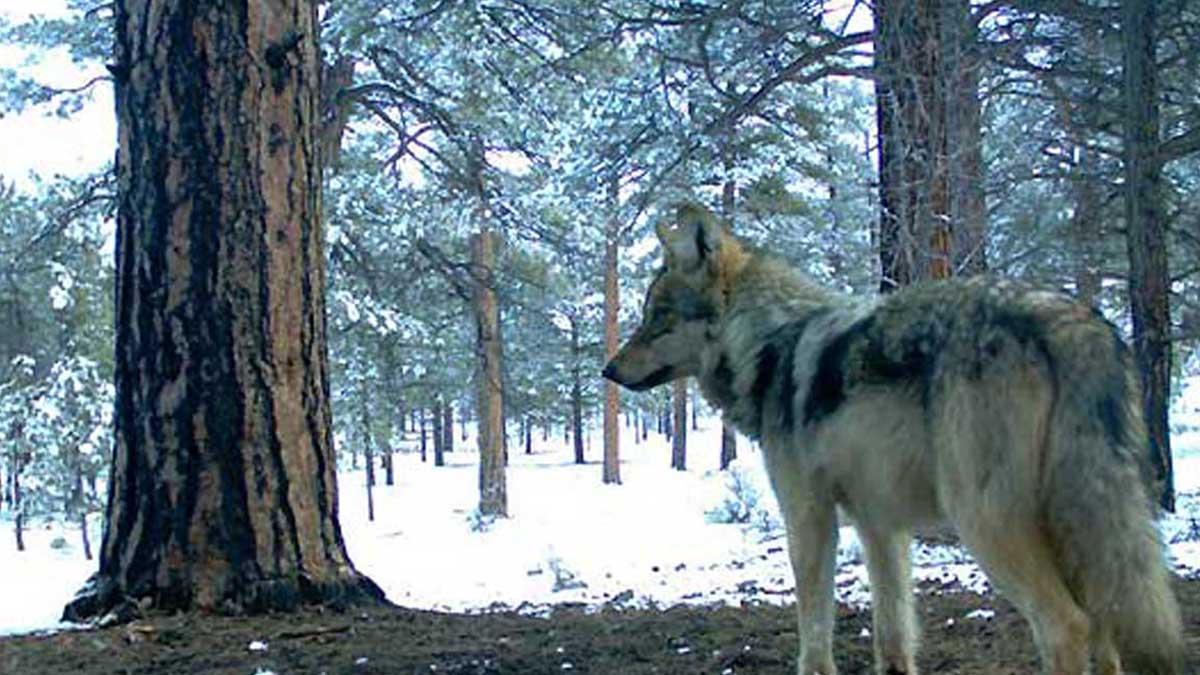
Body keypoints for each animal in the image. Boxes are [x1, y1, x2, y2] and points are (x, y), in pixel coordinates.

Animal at [602, 204, 1183, 675]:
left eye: (657, 318)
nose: (609, 369)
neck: (769, 345)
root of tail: (1072, 321)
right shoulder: (880, 526)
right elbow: (893, 637)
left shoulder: (808, 518)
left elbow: (814, 636)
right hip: (1075, 527)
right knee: (1105, 628)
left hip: (984, 523)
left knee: (1067, 625)